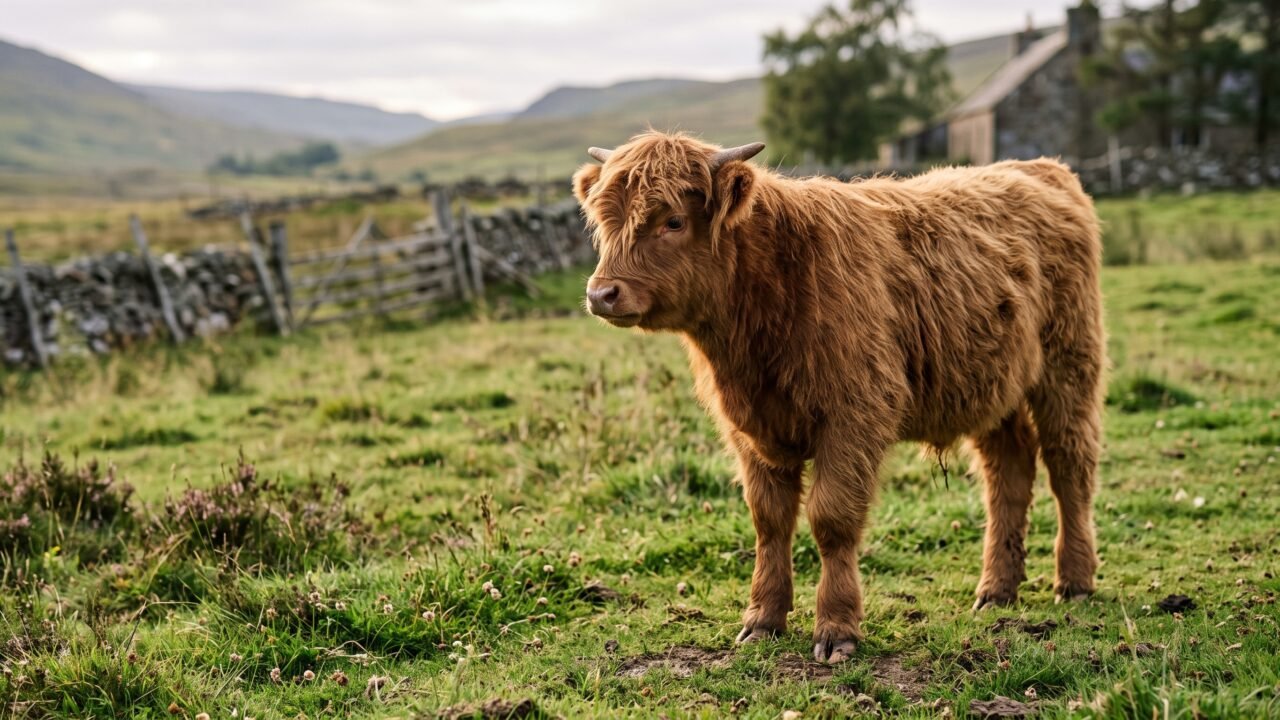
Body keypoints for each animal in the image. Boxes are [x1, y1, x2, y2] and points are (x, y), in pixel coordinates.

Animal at [572, 131, 1105, 664]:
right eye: (605, 220)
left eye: (674, 221)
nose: (601, 294)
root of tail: (1038, 168)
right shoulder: (751, 428)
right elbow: (769, 520)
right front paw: (762, 619)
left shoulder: (855, 415)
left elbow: (832, 519)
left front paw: (835, 628)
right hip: (993, 388)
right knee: (1008, 474)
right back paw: (997, 590)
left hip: (1068, 366)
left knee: (1069, 465)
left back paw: (1075, 581)